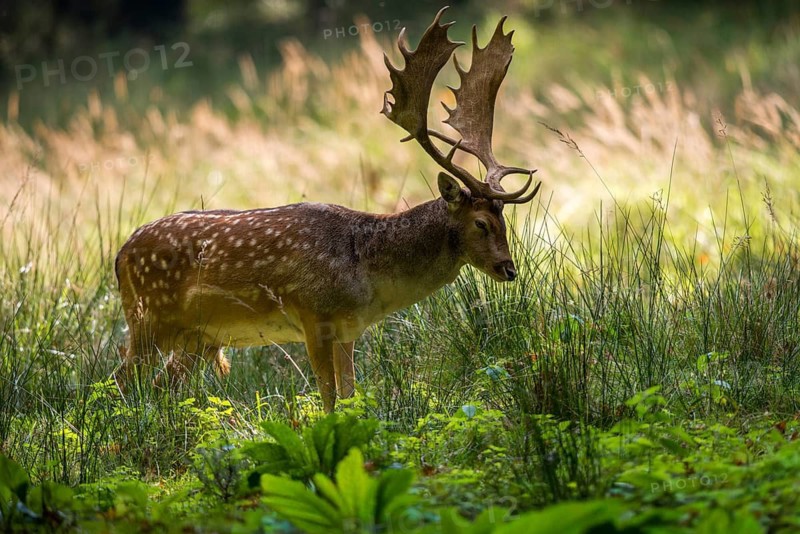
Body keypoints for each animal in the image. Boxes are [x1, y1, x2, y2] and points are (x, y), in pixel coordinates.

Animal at [114, 6, 541, 413]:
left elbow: (351, 395)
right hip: (149, 318)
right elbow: (329, 397)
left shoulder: (349, 330)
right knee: (122, 379)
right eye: (481, 223)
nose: (509, 269)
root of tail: (119, 256)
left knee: (159, 384)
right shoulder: (312, 314)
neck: (366, 275)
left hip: (197, 337)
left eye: (504, 220)